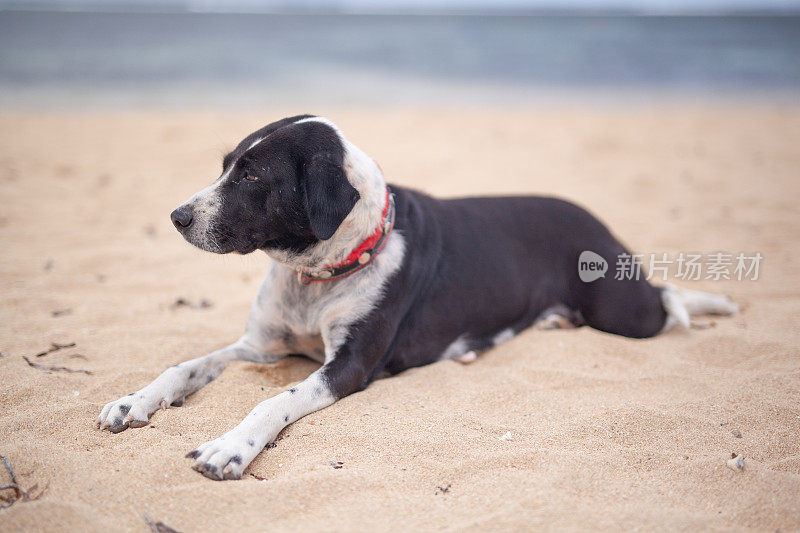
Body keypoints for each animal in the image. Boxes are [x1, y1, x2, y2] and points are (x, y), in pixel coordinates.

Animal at [95, 115, 736, 478]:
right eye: (227, 164)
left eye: (253, 176)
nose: (177, 217)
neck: (316, 276)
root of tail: (596, 219)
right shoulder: (259, 347)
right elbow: (184, 366)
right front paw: (132, 402)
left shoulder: (349, 367)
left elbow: (271, 403)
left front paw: (230, 448)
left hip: (621, 310)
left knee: (665, 299)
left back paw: (713, 304)